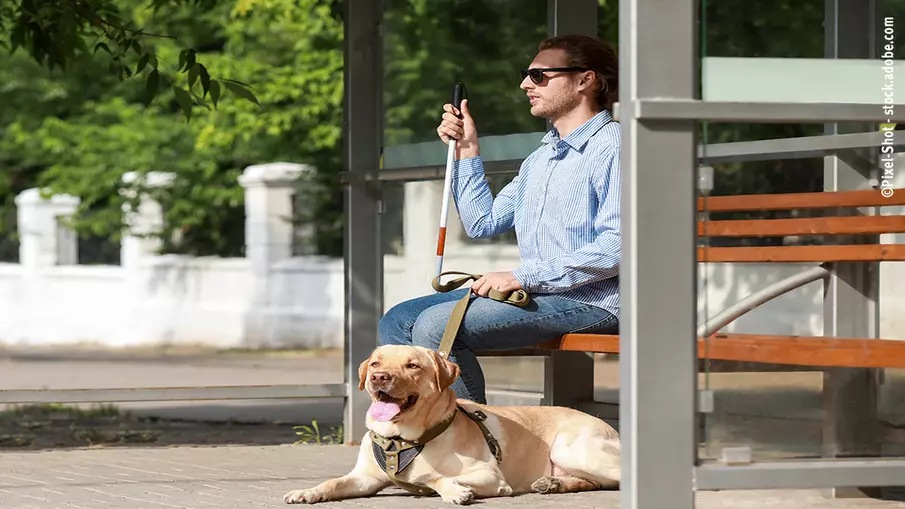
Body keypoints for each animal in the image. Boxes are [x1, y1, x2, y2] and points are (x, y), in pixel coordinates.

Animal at [284, 344, 620, 502]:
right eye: (377, 363)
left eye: (412, 365)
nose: (379, 377)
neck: (400, 439)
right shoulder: (364, 478)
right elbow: (334, 481)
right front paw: (308, 491)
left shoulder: (490, 475)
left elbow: (433, 477)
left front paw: (453, 490)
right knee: (595, 481)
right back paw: (552, 483)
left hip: (571, 449)